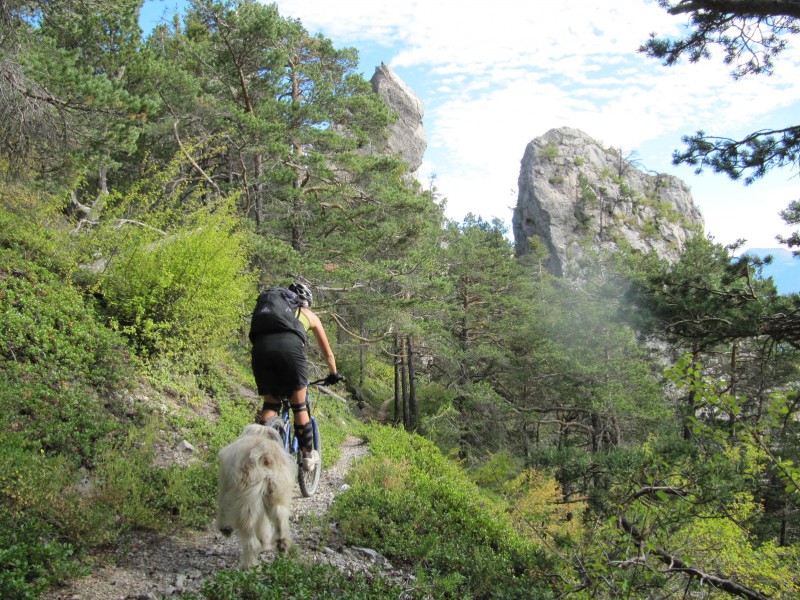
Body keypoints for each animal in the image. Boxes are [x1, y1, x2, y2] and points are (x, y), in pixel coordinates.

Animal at [216, 422, 296, 568]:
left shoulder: (226, 485)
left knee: (251, 539)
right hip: (276, 493)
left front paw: (225, 528)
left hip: (247, 504)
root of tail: (266, 456)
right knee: (280, 515)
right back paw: (282, 543)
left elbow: (223, 504)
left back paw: (248, 565)